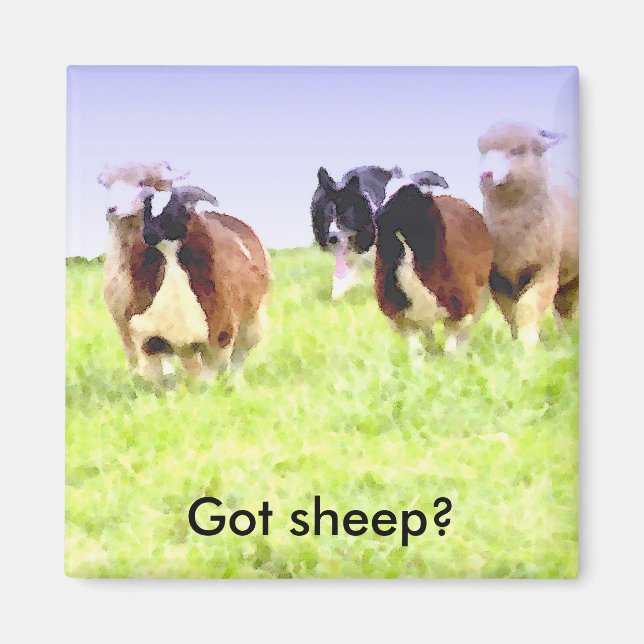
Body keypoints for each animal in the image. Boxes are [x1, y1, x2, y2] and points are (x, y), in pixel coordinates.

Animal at [478, 121, 579, 349]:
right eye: (483, 152)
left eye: (518, 150)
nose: (486, 174)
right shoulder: (498, 279)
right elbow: (510, 313)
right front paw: (516, 344)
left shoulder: (546, 269)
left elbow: (528, 307)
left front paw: (529, 345)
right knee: (565, 308)